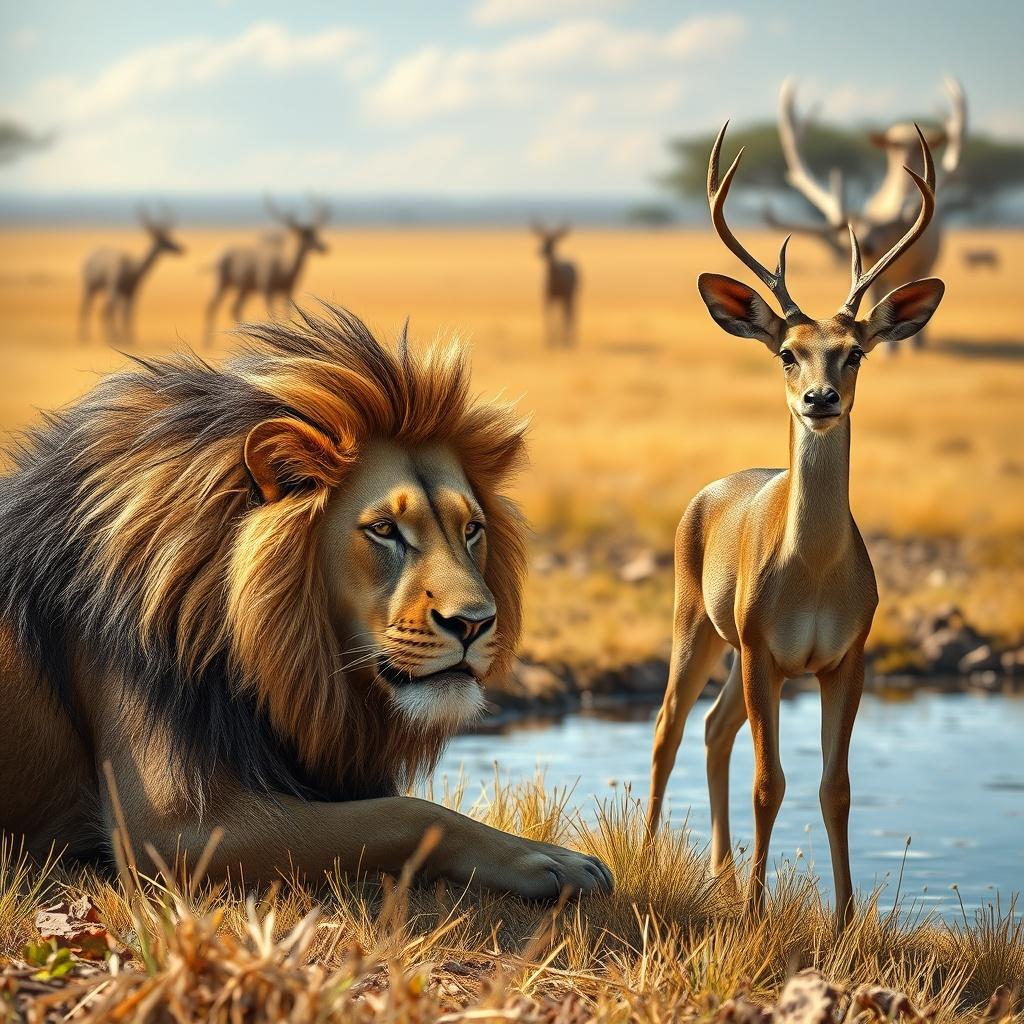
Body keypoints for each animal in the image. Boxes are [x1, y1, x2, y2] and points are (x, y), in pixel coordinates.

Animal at [0, 306, 612, 899]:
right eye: (385, 529)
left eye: (472, 530)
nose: (475, 624)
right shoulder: (168, 832)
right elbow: (409, 813)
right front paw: (547, 860)